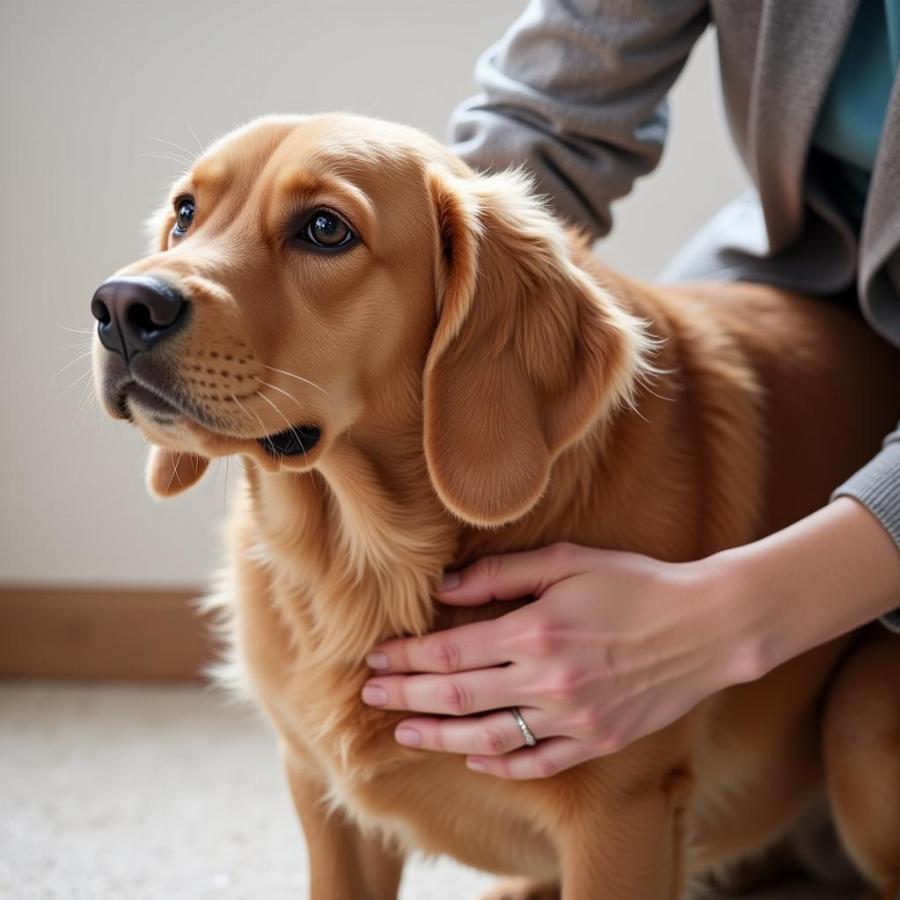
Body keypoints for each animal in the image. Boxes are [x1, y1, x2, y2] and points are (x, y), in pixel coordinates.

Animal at [91, 116, 900, 896]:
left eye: (325, 229)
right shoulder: (323, 797)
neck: (366, 563)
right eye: (185, 214)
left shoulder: (622, 816)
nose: (122, 306)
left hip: (859, 729)